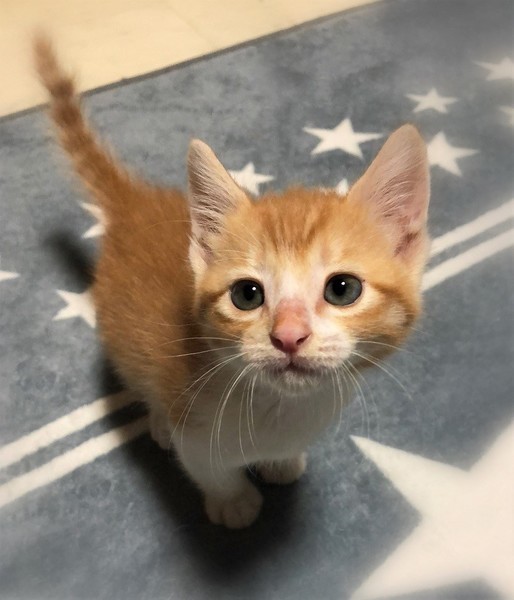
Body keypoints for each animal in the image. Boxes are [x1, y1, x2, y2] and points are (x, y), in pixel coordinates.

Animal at [34, 34, 430, 529]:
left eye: (343, 289)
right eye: (247, 294)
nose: (288, 336)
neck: (282, 409)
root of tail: (137, 203)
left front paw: (281, 461)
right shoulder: (194, 430)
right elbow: (209, 469)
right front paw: (234, 502)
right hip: (120, 337)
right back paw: (158, 422)